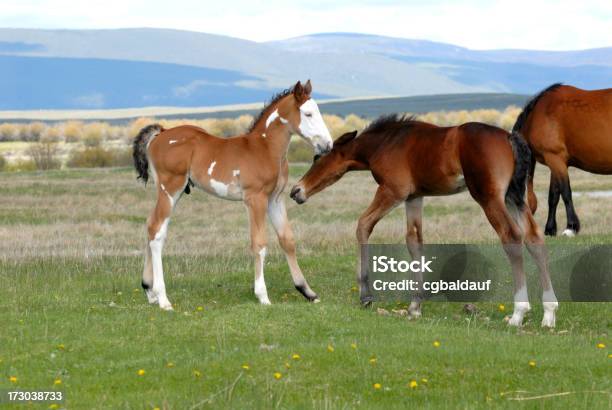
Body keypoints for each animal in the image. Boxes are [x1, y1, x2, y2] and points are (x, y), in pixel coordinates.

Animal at [132, 81, 332, 310]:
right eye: (308, 114)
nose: (328, 145)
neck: (265, 147)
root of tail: (161, 134)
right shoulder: (255, 199)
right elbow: (259, 243)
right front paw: (263, 296)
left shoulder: (275, 199)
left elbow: (287, 240)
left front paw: (307, 291)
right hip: (170, 189)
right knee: (157, 231)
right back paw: (163, 299)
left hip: (174, 192)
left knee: (150, 225)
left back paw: (149, 291)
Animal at [292, 115, 560, 326]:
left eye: (317, 158)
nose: (296, 191)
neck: (386, 143)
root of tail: (509, 137)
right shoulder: (414, 197)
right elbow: (414, 241)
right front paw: (415, 306)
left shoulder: (392, 192)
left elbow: (363, 225)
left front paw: (366, 295)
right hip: (513, 197)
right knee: (534, 239)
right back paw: (549, 313)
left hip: (490, 197)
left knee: (511, 237)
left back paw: (518, 313)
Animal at [512, 83, 612, 237]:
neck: (538, 115)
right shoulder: (554, 161)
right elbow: (553, 196)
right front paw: (550, 229)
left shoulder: (555, 158)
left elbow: (566, 192)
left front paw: (571, 227)